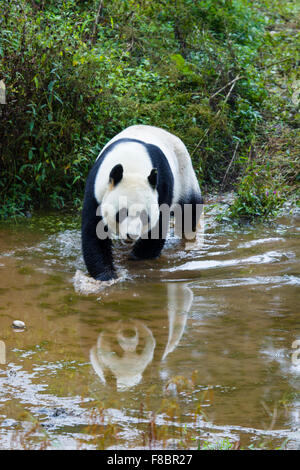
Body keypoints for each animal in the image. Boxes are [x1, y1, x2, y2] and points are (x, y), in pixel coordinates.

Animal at [81, 123, 203, 280]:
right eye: (121, 213)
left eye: (145, 216)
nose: (131, 235)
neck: (132, 165)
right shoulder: (97, 190)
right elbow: (94, 231)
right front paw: (106, 275)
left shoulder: (162, 186)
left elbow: (158, 226)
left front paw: (138, 258)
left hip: (184, 175)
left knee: (189, 211)